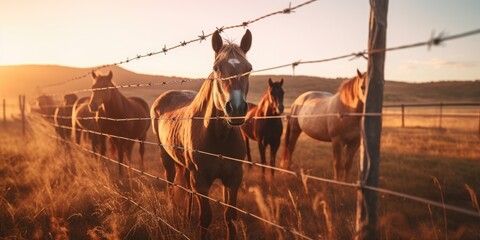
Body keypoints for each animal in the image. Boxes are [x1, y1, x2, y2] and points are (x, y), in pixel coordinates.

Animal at [151, 29, 253, 239]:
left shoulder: (234, 177)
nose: (236, 109)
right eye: (216, 68)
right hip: (166, 158)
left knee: (186, 188)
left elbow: (230, 217)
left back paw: (186, 217)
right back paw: (173, 214)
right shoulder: (200, 179)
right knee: (171, 184)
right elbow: (205, 218)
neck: (219, 136)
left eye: (249, 68)